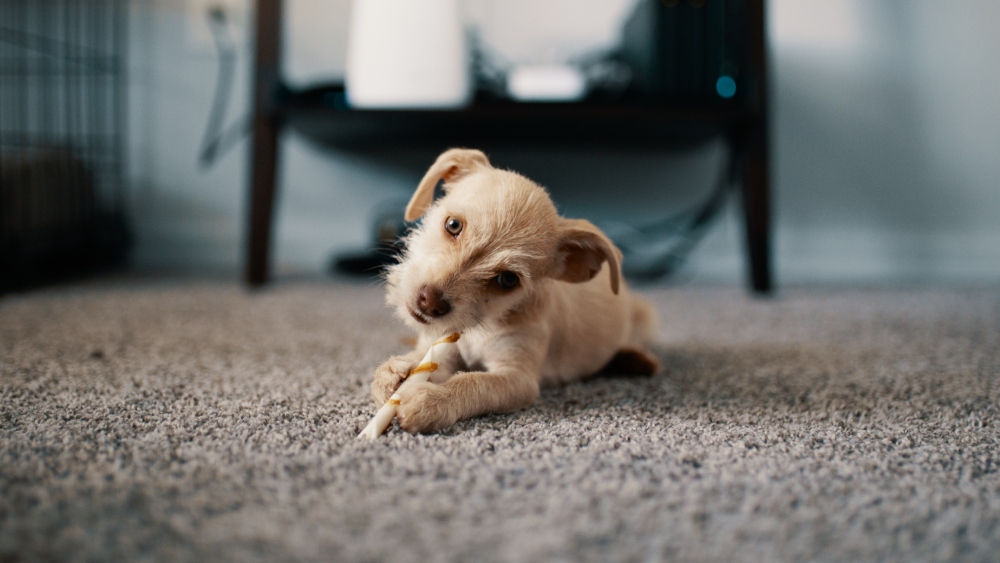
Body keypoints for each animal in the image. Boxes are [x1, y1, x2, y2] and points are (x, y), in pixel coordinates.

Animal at [372, 149, 660, 432]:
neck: (480, 326)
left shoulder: (517, 378)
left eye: (508, 280)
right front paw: (395, 372)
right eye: (453, 225)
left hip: (644, 314)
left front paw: (431, 399)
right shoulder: (441, 348)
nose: (429, 302)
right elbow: (423, 362)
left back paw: (635, 359)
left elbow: (473, 384)